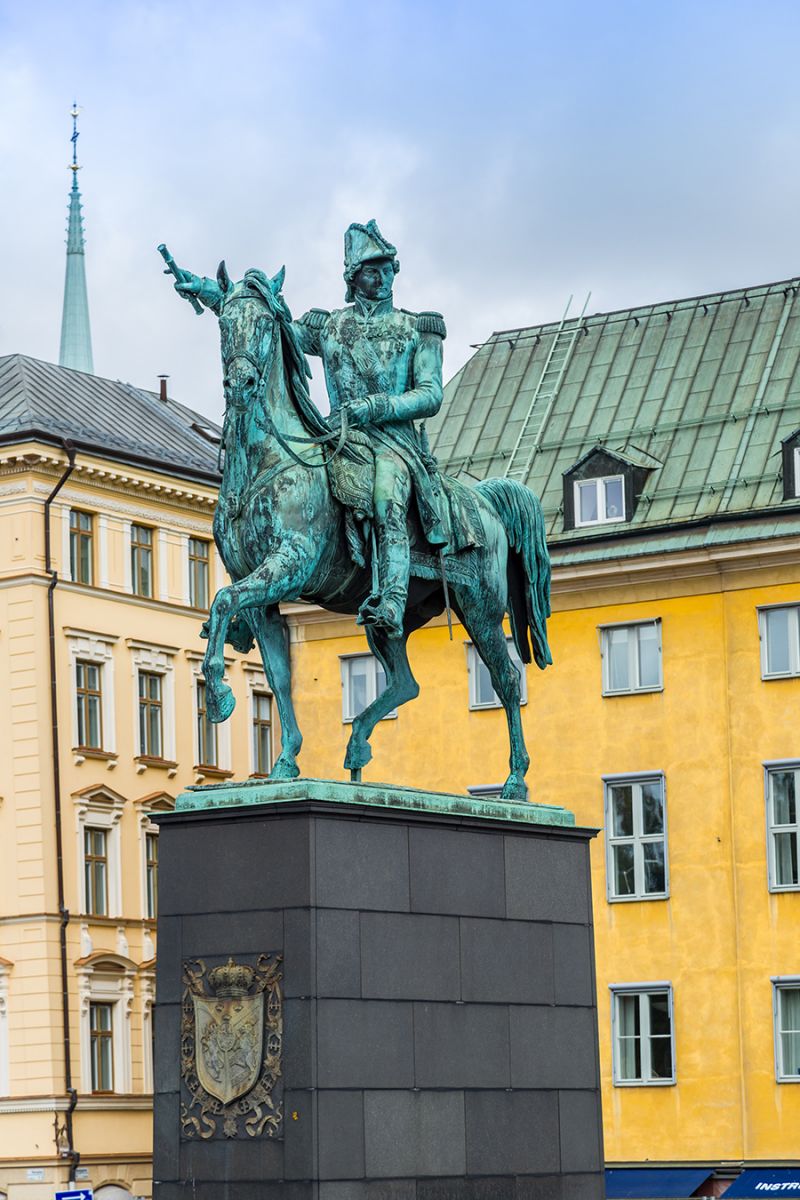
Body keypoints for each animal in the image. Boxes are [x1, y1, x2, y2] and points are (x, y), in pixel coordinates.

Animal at [199, 267, 551, 801]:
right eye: (224, 323)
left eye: (262, 323)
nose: (240, 383)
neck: (266, 463)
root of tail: (486, 499)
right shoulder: (261, 596)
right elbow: (278, 675)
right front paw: (285, 761)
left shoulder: (288, 565)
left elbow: (221, 600)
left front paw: (218, 693)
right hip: (388, 618)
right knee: (405, 683)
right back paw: (358, 743)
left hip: (480, 609)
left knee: (507, 678)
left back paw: (515, 782)